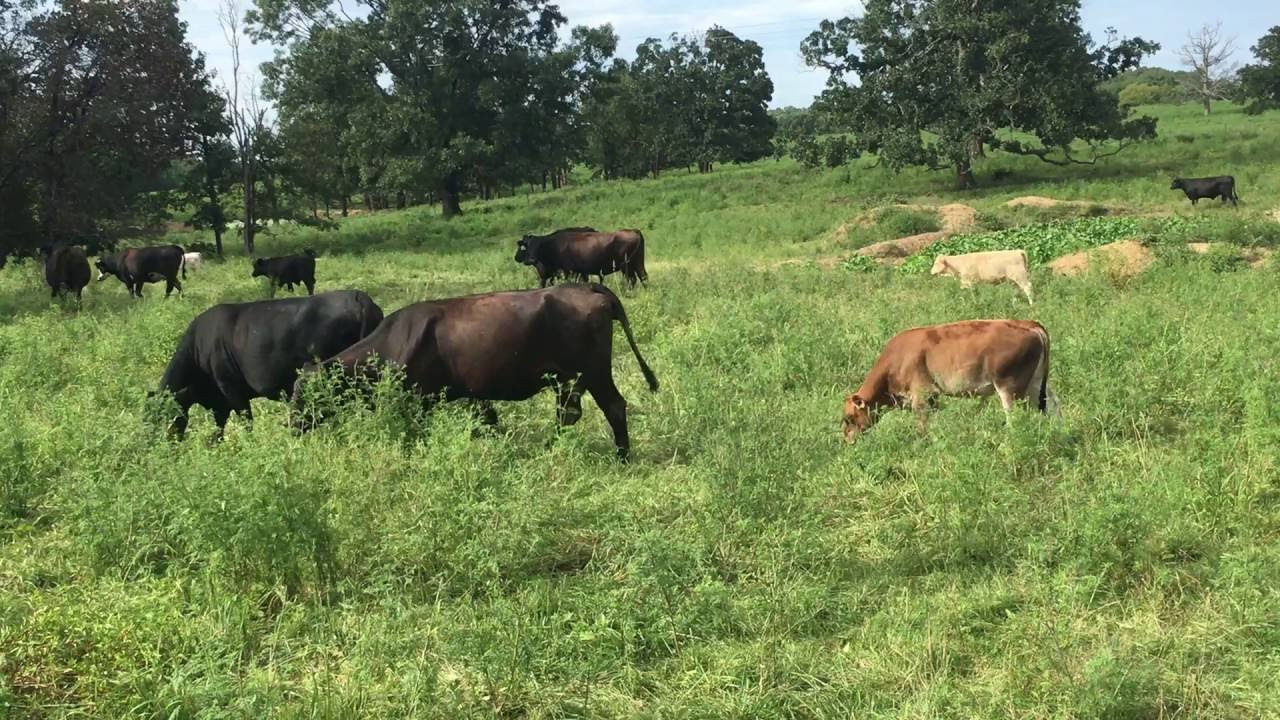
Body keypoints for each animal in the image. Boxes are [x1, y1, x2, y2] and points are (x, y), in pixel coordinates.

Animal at [152, 290, 384, 439]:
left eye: (163, 415)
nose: (158, 444)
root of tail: (358, 297)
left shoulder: (230, 389)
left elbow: (245, 421)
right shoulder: (219, 401)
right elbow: (218, 430)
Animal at [293, 283, 659, 459]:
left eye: (305, 394)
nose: (293, 427)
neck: (393, 342)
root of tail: (586, 287)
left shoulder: (420, 399)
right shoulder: (473, 393)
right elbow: (488, 420)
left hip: (593, 370)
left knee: (613, 406)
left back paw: (621, 457)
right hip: (565, 378)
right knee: (568, 412)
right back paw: (548, 449)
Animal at [515, 228, 648, 288]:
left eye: (538, 247)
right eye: (527, 246)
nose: (531, 260)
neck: (554, 245)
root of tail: (633, 231)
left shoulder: (568, 271)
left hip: (626, 266)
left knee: (632, 280)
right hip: (637, 263)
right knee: (643, 277)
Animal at [842, 320, 1053, 442]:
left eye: (849, 418)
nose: (847, 440)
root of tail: (1029, 324)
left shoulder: (921, 395)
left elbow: (921, 426)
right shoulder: (933, 397)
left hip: (1009, 387)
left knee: (1013, 417)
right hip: (1036, 384)